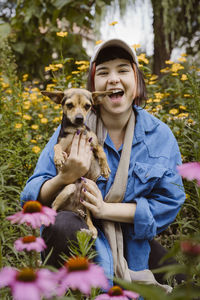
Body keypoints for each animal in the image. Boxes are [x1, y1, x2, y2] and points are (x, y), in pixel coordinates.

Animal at [41, 88, 111, 238]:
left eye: (87, 106)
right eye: (69, 105)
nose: (80, 118)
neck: (76, 129)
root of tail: (73, 207)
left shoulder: (93, 142)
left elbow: (101, 151)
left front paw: (105, 168)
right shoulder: (62, 144)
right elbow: (56, 147)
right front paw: (58, 158)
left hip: (88, 196)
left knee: (87, 215)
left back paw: (91, 226)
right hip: (69, 188)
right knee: (54, 207)